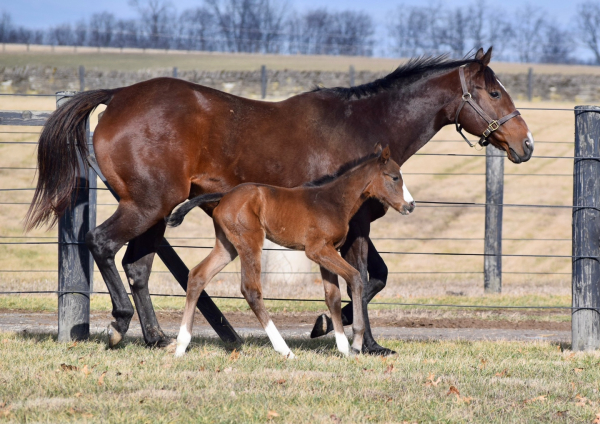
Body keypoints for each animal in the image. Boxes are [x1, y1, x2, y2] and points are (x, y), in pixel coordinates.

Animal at [166, 146, 414, 358]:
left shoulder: (327, 251)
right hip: (250, 241)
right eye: (394, 177)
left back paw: (181, 346)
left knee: (198, 275)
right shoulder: (317, 250)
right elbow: (355, 278)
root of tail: (224, 196)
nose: (410, 205)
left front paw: (342, 346)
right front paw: (355, 345)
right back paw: (284, 349)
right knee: (251, 290)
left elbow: (332, 296)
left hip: (227, 246)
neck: (332, 201)